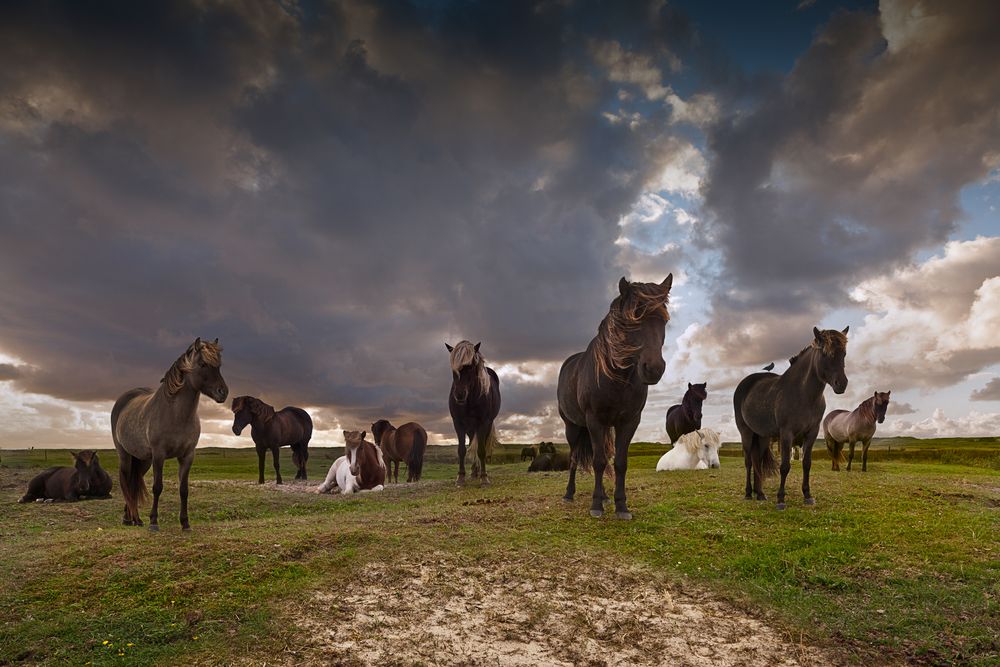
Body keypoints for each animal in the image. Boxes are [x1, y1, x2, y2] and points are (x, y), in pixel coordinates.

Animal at [110, 340, 228, 532]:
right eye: (202, 364)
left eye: (219, 365)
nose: (223, 392)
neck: (176, 414)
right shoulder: (159, 455)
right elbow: (157, 487)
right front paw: (154, 522)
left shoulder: (187, 456)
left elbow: (184, 490)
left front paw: (185, 523)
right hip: (126, 456)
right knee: (126, 482)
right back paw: (128, 519)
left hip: (143, 460)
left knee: (134, 483)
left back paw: (136, 519)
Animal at [450, 342, 504, 488]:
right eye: (453, 368)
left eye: (471, 366)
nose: (459, 394)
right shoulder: (458, 423)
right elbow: (462, 450)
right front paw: (460, 478)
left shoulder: (483, 423)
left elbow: (481, 450)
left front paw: (484, 478)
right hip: (470, 427)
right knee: (471, 444)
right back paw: (474, 472)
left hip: (485, 425)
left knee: (480, 445)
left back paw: (479, 472)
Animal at [556, 274, 672, 520]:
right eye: (631, 320)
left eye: (664, 321)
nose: (653, 369)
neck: (617, 378)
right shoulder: (594, 420)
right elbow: (599, 462)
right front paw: (596, 505)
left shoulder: (629, 421)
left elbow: (619, 462)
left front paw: (621, 505)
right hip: (573, 426)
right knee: (574, 458)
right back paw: (570, 494)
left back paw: (605, 496)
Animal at [732, 328, 848, 512]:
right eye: (825, 353)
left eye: (843, 353)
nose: (841, 384)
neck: (803, 394)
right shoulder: (786, 434)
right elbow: (785, 466)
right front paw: (780, 499)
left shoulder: (812, 433)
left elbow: (807, 463)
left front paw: (807, 496)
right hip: (746, 433)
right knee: (749, 461)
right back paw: (749, 493)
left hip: (763, 437)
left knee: (757, 460)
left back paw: (760, 494)